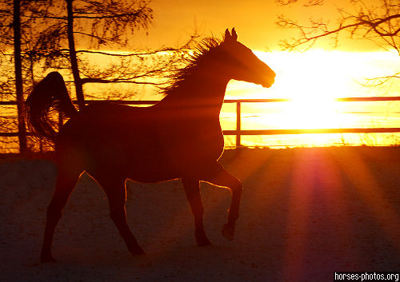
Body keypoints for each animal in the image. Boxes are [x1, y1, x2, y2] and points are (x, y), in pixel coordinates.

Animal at [25, 28, 276, 262]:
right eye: (242, 54)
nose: (271, 76)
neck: (191, 116)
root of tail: (76, 117)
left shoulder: (195, 173)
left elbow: (213, 198)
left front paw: (209, 237)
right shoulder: (200, 168)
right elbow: (224, 193)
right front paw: (223, 232)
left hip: (81, 174)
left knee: (60, 210)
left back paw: (48, 256)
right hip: (104, 177)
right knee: (111, 213)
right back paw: (136, 250)